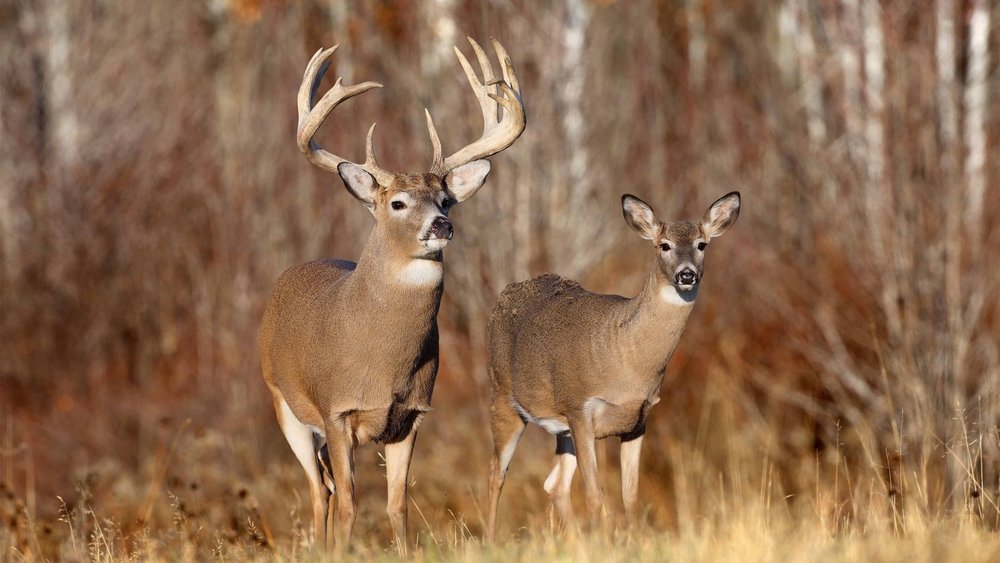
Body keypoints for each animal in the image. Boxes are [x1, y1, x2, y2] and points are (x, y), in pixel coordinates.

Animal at [259, 38, 525, 551]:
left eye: (446, 200)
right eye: (398, 203)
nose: (441, 226)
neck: (382, 363)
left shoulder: (411, 415)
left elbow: (397, 505)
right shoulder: (337, 410)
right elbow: (349, 504)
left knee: (323, 486)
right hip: (284, 404)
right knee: (318, 491)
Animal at [484, 191, 741, 539]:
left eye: (702, 244)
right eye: (664, 245)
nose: (686, 274)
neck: (626, 360)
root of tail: (504, 295)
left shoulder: (639, 420)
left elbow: (629, 494)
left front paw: (631, 540)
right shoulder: (580, 408)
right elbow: (595, 493)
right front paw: (603, 540)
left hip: (561, 428)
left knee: (554, 484)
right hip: (503, 396)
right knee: (496, 473)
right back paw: (489, 539)